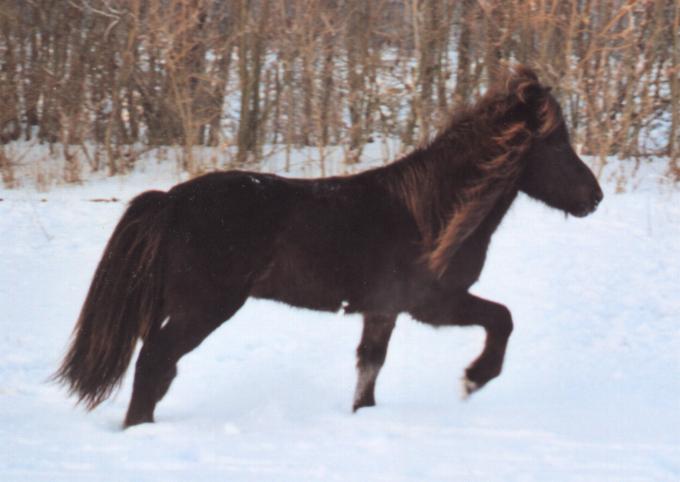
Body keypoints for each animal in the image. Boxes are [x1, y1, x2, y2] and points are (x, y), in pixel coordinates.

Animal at [55, 66, 604, 428]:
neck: (434, 211)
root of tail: (171, 200)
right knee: (155, 362)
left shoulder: (383, 311)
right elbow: (502, 319)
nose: (594, 198)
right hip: (205, 308)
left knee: (159, 366)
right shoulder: (434, 305)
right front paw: (473, 378)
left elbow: (368, 371)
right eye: (556, 144)